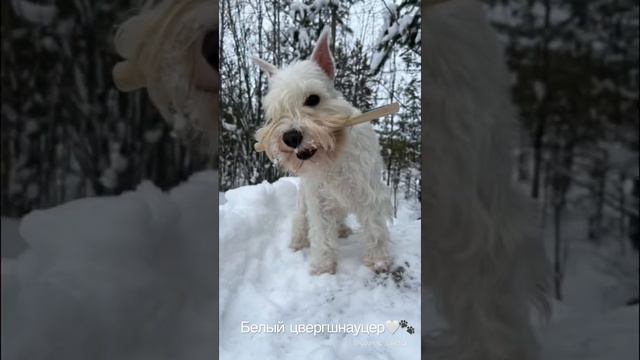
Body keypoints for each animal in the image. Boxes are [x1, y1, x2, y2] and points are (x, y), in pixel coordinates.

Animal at [251, 28, 392, 276]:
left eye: (313, 99)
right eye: (276, 110)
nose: (291, 137)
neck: (332, 155)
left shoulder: (368, 192)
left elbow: (374, 227)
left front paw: (378, 260)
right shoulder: (318, 199)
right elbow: (321, 234)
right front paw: (323, 268)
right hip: (303, 204)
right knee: (300, 222)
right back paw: (297, 243)